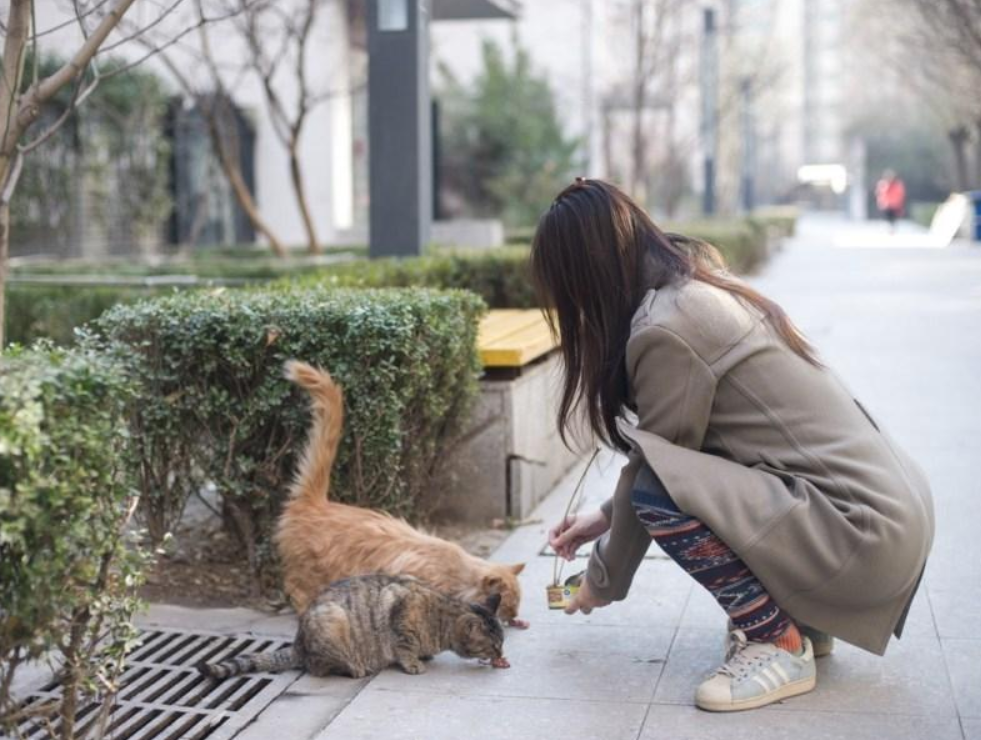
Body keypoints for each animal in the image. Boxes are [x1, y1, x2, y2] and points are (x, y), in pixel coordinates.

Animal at [198, 576, 506, 680]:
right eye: (493, 644)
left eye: (502, 642)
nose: (501, 654)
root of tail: (298, 643)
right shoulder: (401, 618)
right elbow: (405, 647)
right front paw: (414, 663)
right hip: (333, 622)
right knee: (320, 667)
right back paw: (355, 668)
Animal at [272, 362, 524, 628]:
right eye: (508, 604)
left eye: (517, 604)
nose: (515, 616)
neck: (456, 575)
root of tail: (317, 501)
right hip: (308, 574)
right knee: (295, 590)